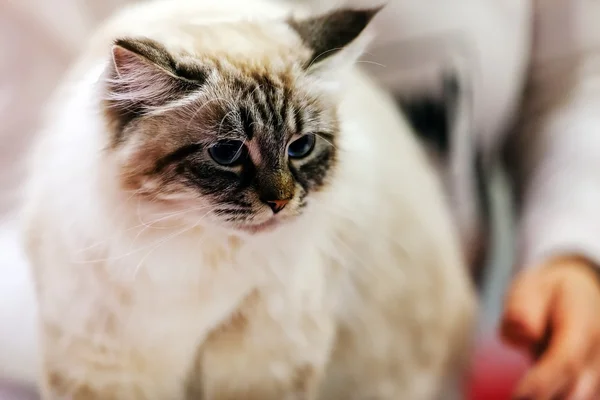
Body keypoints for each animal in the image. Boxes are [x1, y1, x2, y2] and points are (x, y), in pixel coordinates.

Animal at [21, 0, 476, 398]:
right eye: (227, 153)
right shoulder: (103, 364)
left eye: (301, 147)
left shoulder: (265, 364)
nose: (281, 203)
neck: (193, 249)